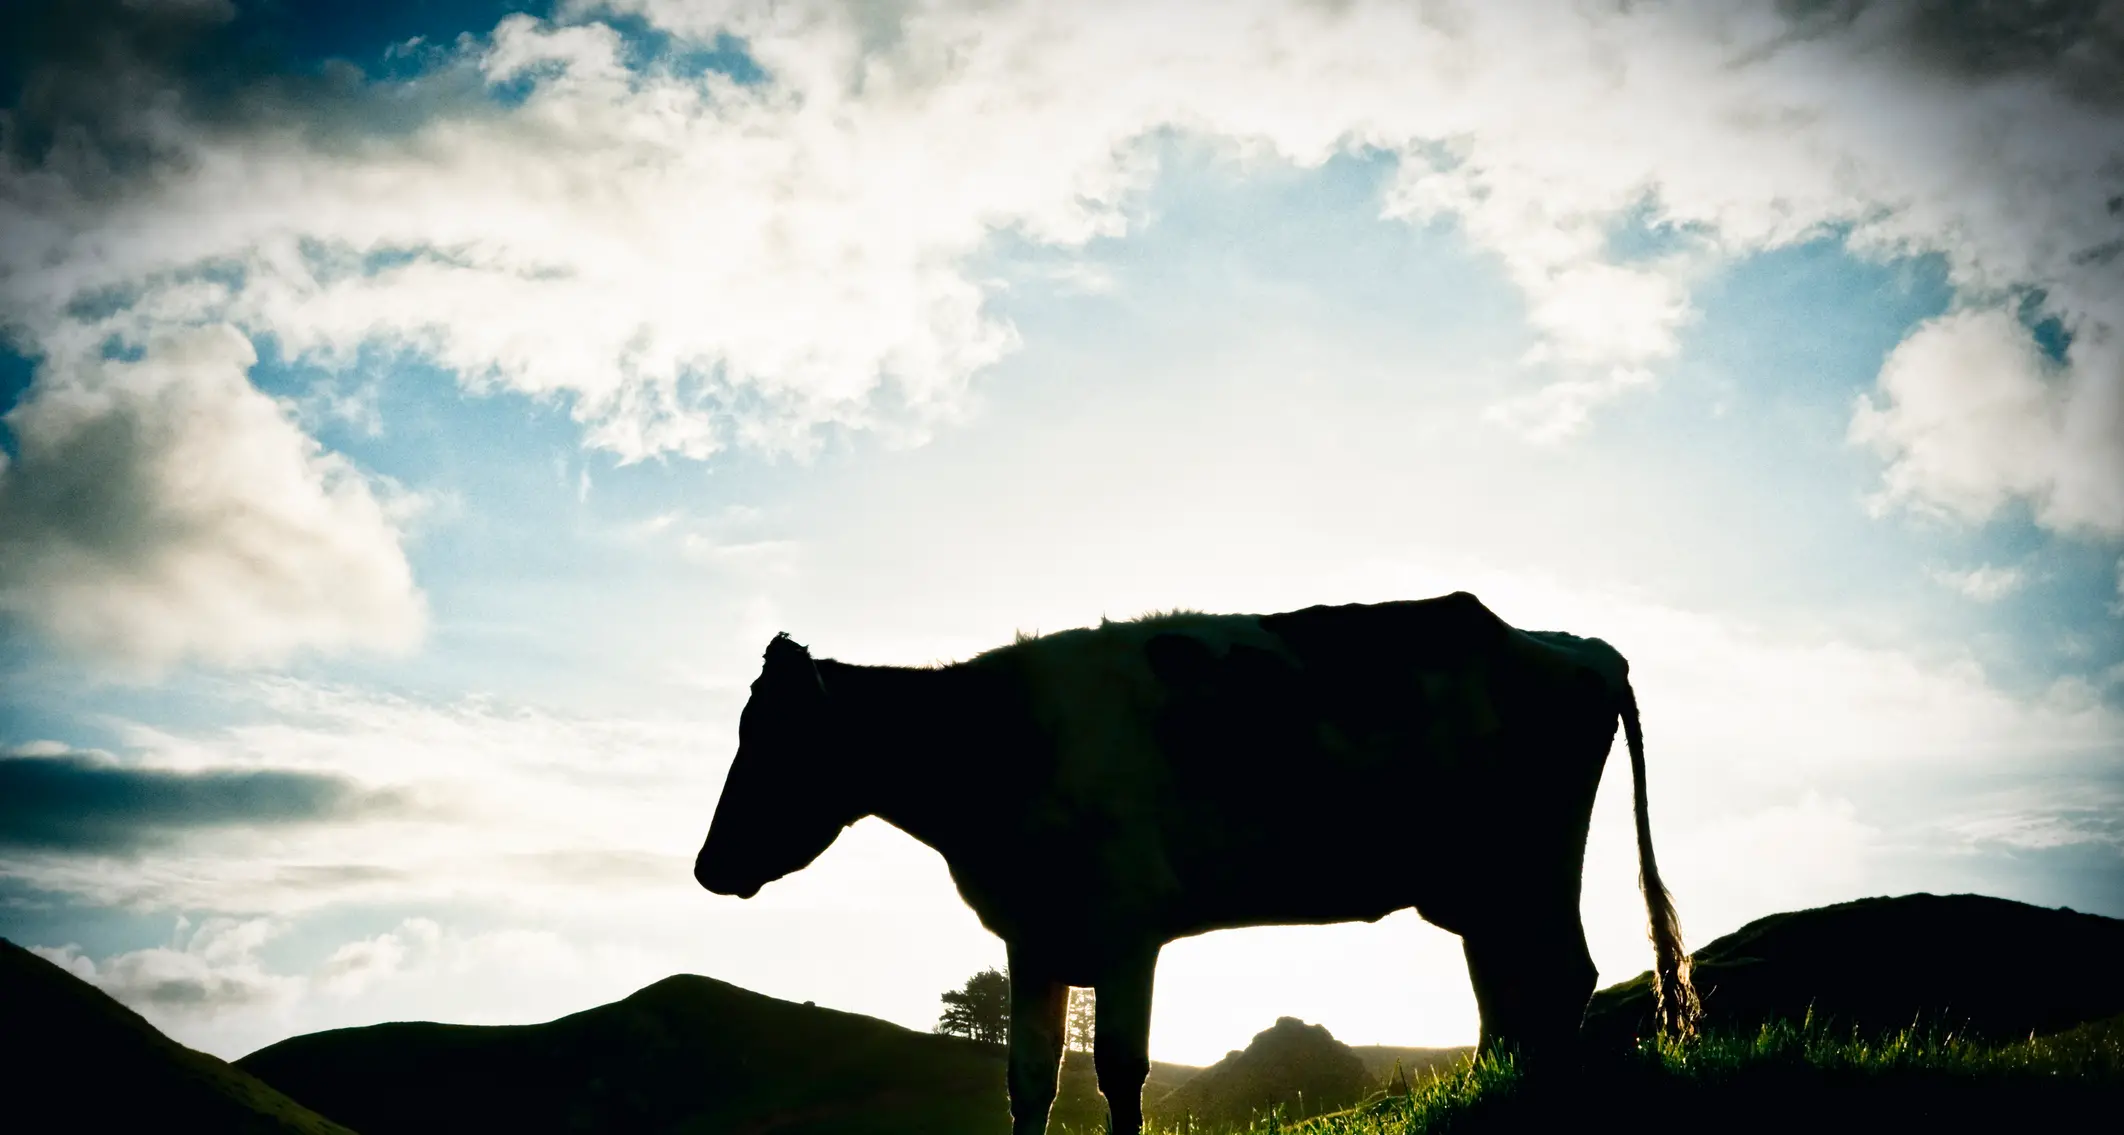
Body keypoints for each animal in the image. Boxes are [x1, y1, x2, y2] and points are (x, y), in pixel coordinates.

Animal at [694, 592, 1697, 1135]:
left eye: (776, 739)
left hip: (1533, 863)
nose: (708, 866)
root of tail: (1576, 645)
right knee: (1506, 996)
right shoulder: (1033, 936)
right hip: (1481, 885)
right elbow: (1030, 1082)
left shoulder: (1125, 928)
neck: (1004, 740)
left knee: (1561, 977)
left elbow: (1120, 1075)